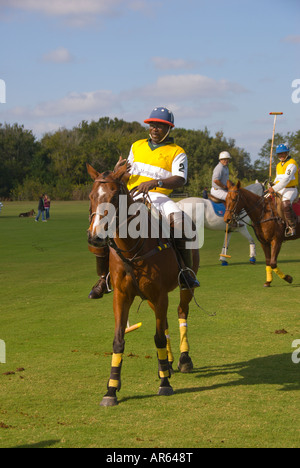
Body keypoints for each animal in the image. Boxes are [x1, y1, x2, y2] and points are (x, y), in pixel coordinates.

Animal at [86, 163, 199, 404]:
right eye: (91, 196)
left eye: (113, 196)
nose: (95, 237)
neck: (132, 247)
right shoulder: (122, 295)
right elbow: (119, 339)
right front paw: (111, 389)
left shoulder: (159, 294)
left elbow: (158, 337)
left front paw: (165, 384)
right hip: (150, 298)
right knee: (164, 322)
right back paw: (166, 365)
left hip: (184, 285)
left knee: (181, 311)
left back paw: (183, 360)